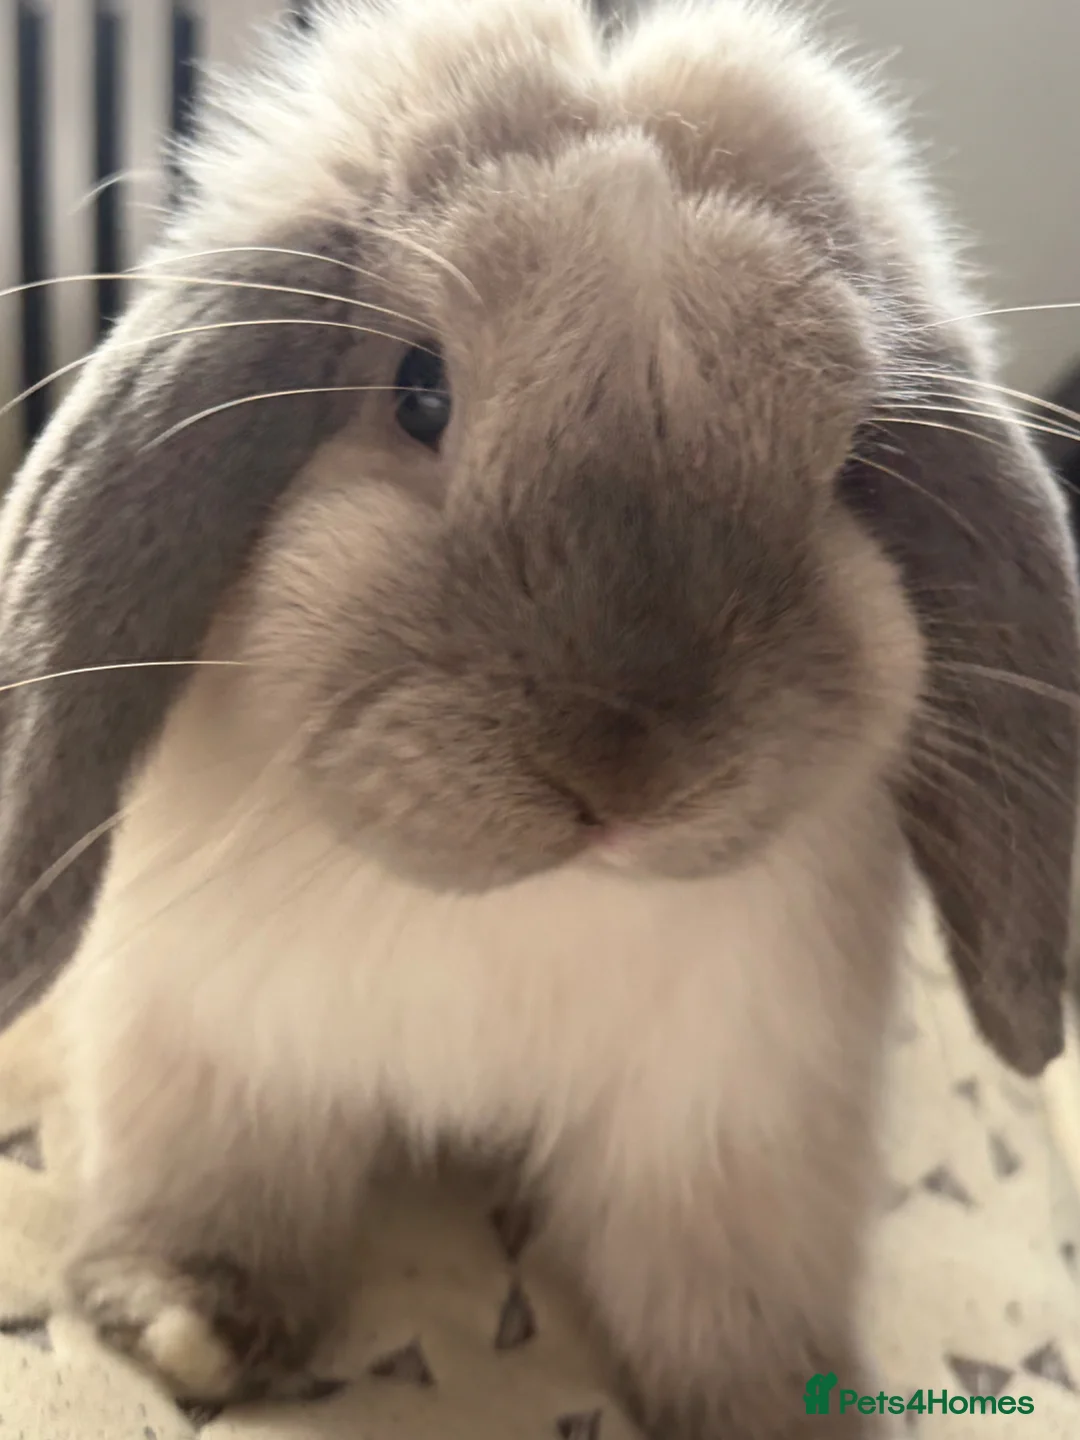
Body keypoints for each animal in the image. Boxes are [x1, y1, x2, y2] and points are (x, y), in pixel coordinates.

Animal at [1, 0, 1078, 1435]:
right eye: (420, 391)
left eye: (844, 462)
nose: (623, 774)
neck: (532, 909)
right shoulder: (223, 1058)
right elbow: (225, 1190)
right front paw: (188, 1329)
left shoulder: (730, 1127)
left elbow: (718, 1284)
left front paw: (774, 1407)